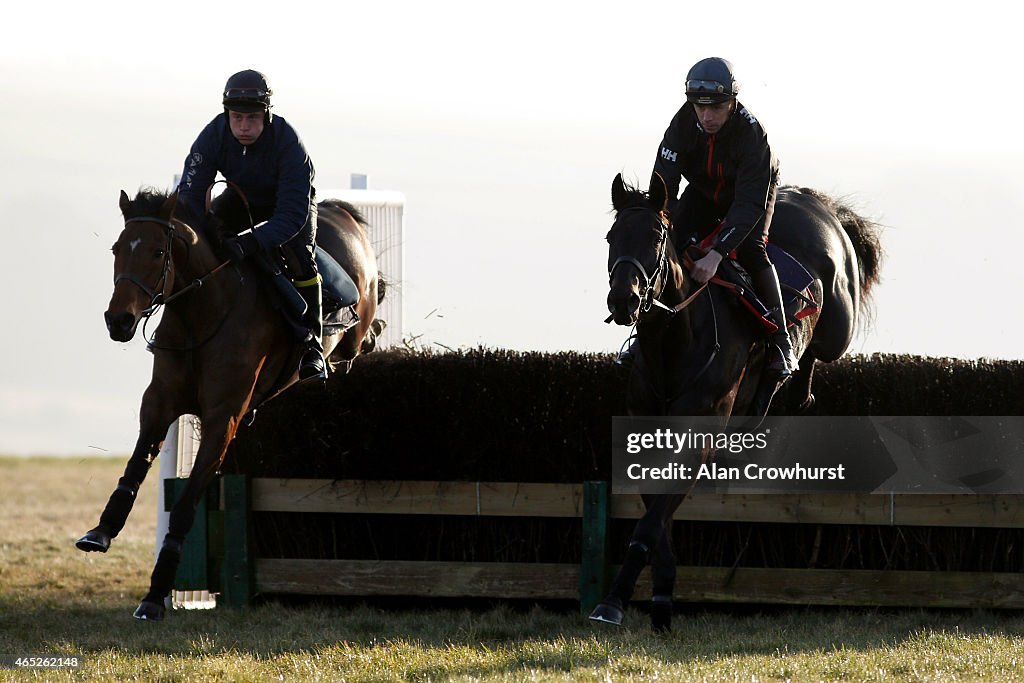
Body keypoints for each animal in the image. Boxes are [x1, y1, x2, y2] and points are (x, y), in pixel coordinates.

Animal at [74, 187, 382, 618]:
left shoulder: (222, 419)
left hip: (353, 322)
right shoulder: (159, 404)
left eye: (157, 252)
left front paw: (155, 595)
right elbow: (134, 470)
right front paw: (100, 532)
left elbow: (186, 505)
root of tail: (341, 211)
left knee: (362, 335)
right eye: (117, 248)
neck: (201, 316)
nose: (118, 320)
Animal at [593, 174, 880, 634]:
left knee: (814, 353)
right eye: (611, 236)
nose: (624, 300)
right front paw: (660, 599)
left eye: (656, 237)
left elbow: (651, 522)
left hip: (838, 323)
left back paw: (786, 363)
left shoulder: (699, 433)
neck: (676, 340)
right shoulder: (643, 434)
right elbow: (656, 515)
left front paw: (613, 601)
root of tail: (815, 200)